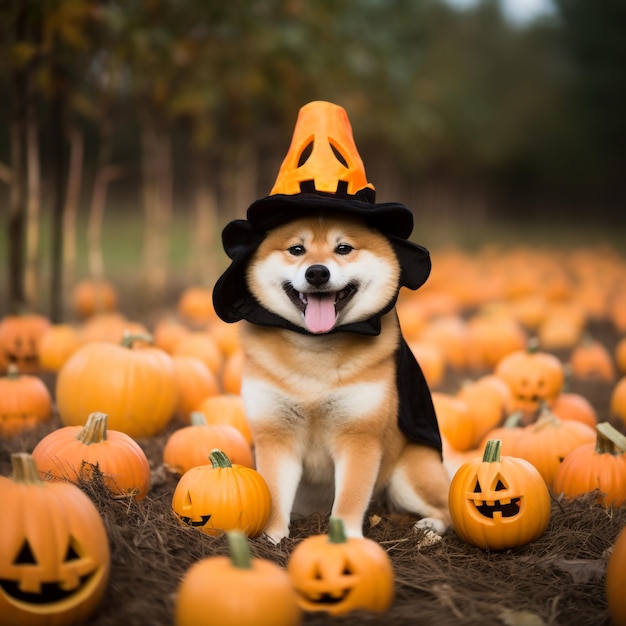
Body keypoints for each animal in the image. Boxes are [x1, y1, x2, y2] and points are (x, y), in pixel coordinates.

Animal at [213, 98, 448, 540]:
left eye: (343, 248)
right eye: (296, 249)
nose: (317, 273)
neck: (314, 356)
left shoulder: (359, 438)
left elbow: (350, 500)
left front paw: (346, 541)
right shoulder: (276, 436)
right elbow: (274, 495)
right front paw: (273, 539)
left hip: (409, 472)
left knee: (449, 508)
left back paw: (426, 529)